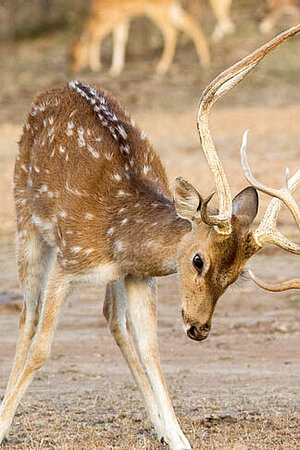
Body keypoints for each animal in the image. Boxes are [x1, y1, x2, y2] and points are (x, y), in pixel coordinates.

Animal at [0, 26, 300, 450]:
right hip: (26, 219)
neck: (119, 239)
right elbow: (42, 348)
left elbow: (151, 349)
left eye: (237, 276)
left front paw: (178, 438)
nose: (199, 328)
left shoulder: (138, 276)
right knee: (28, 315)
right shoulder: (69, 260)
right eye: (197, 260)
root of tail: (55, 87)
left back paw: (159, 426)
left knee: (112, 319)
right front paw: (2, 425)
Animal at [69, 0, 234, 74]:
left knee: (171, 31)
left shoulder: (112, 18)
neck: (95, 13)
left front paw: (97, 66)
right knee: (191, 25)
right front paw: (115, 68)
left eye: (74, 55)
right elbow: (120, 40)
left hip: (157, 10)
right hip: (172, 9)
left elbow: (97, 38)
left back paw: (162, 66)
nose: (73, 69)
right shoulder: (122, 19)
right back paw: (204, 60)